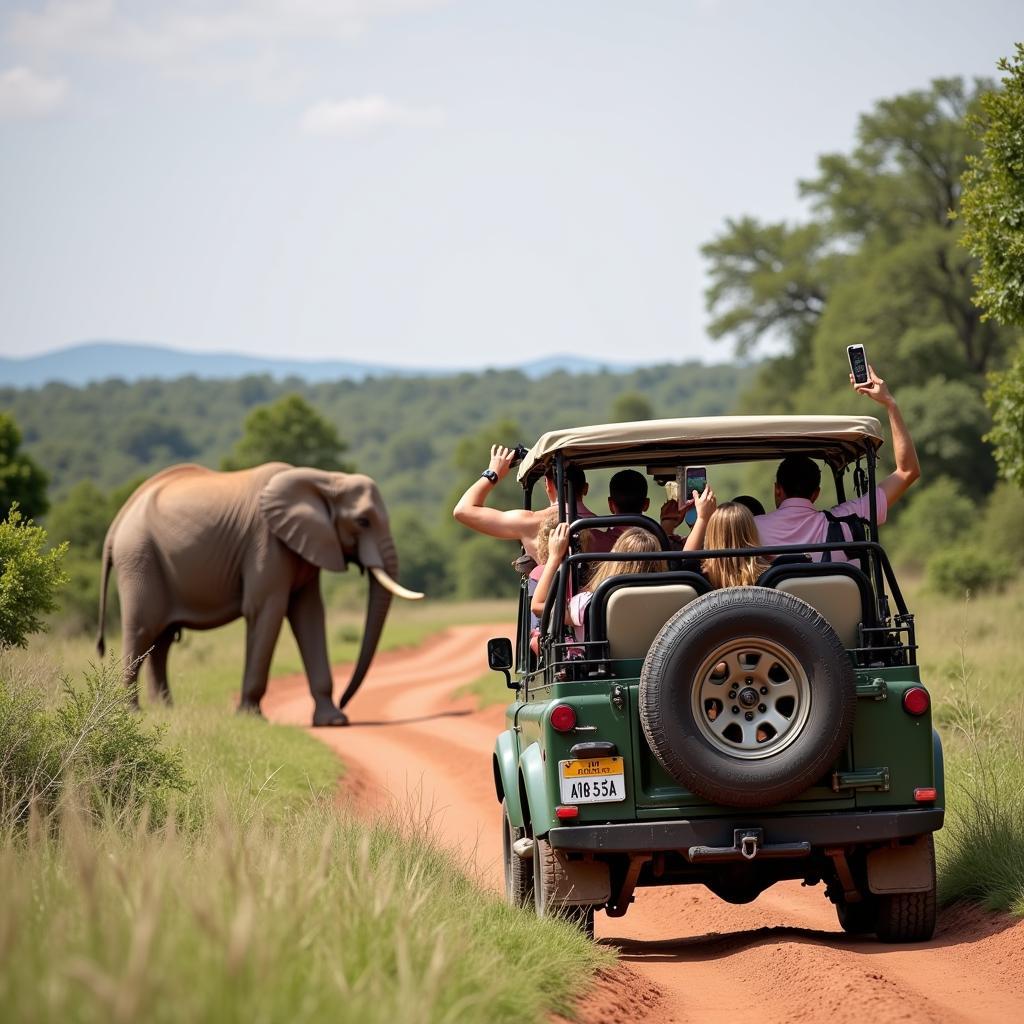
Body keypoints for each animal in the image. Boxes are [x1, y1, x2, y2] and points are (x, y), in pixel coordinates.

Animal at [96, 464, 423, 729]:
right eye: (363, 521)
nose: (345, 701)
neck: (324, 479)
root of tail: (117, 522)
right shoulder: (265, 541)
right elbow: (266, 609)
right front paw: (251, 717)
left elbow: (310, 615)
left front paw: (334, 722)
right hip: (139, 558)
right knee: (142, 630)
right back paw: (132, 713)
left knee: (162, 640)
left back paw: (166, 711)